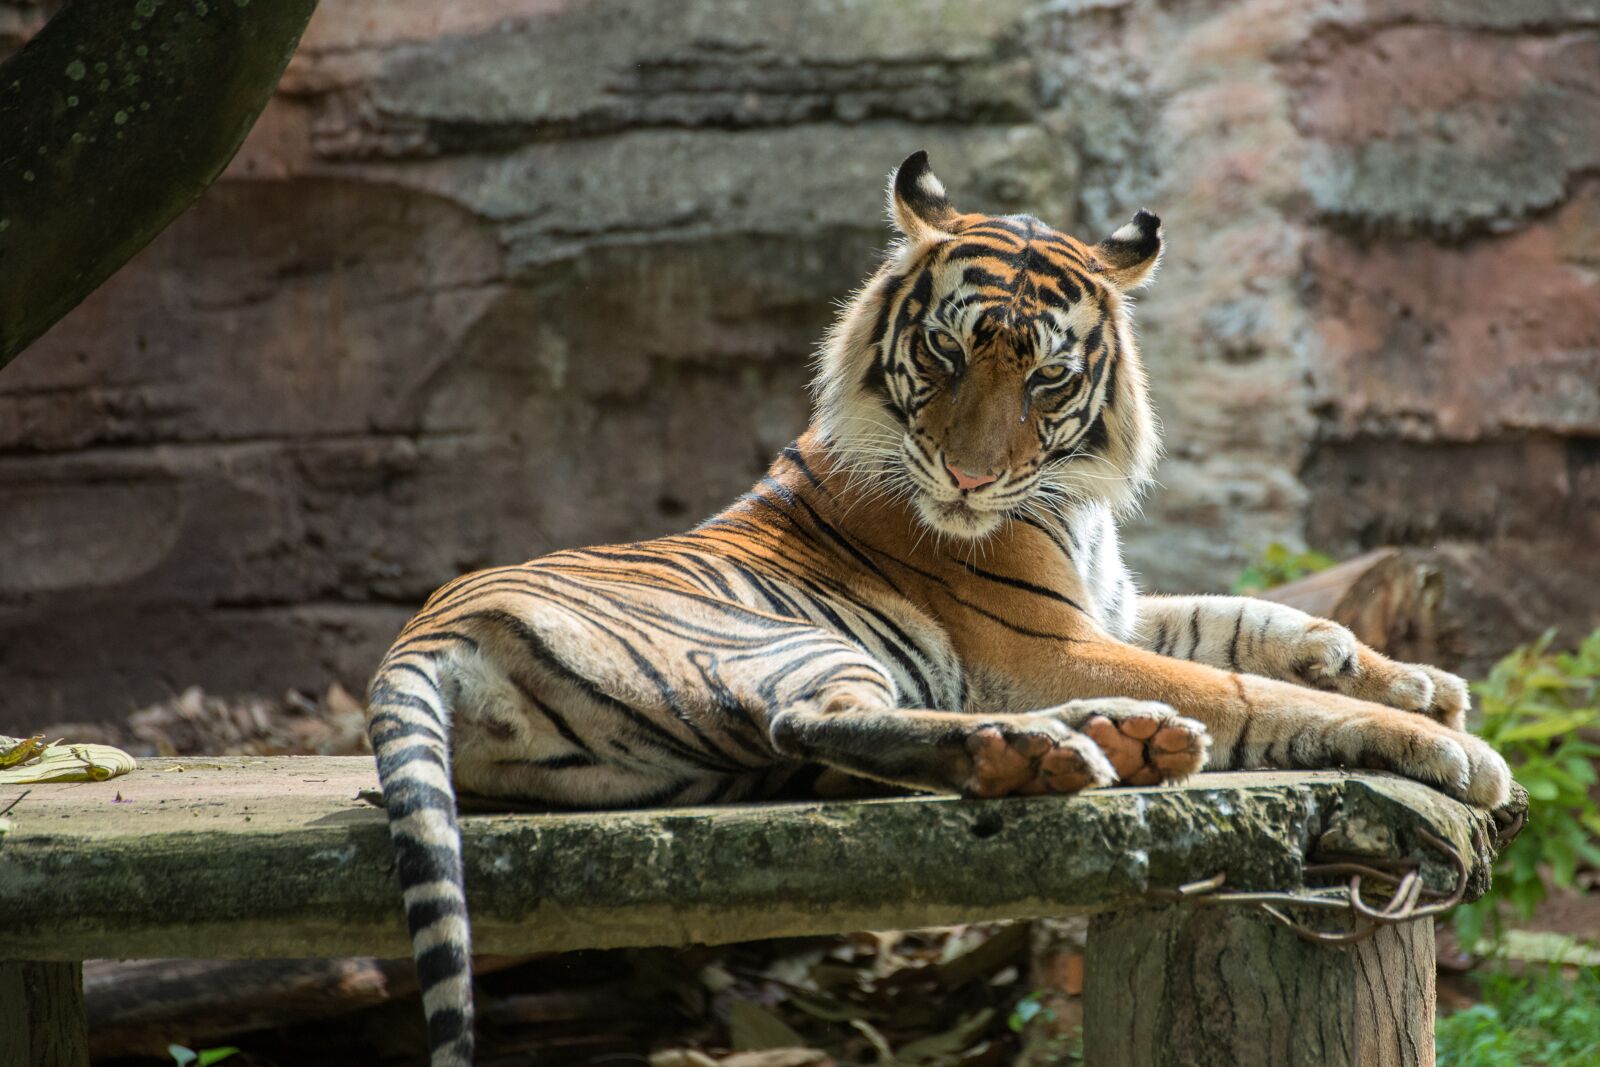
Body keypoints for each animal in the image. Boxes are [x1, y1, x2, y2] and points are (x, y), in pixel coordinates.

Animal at [365, 150, 1511, 1066]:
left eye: (1047, 378)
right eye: (946, 354)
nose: (967, 479)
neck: (1069, 500)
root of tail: (425, 636)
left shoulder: (1109, 608)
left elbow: (1259, 621)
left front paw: (1424, 683)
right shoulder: (1045, 643)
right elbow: (1239, 682)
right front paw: (1452, 748)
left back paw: (1122, 740)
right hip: (785, 644)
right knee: (821, 721)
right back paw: (1055, 751)